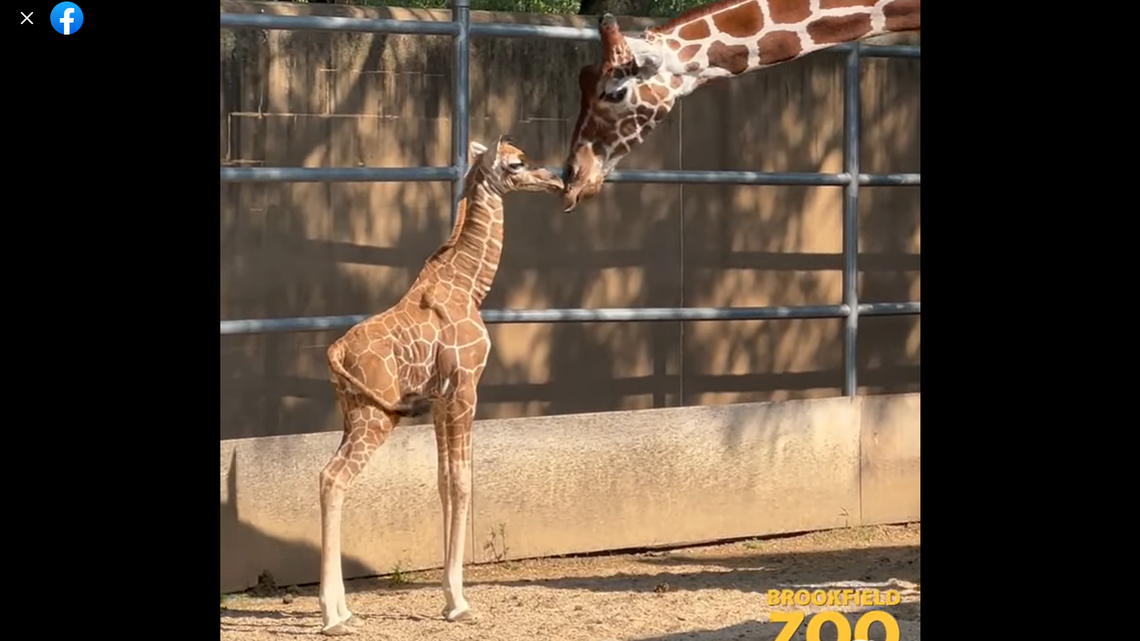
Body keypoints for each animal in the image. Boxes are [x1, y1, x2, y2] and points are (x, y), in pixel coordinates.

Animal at [315, 136, 563, 636]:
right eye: (516, 163)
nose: (556, 179)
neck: (469, 285)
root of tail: (336, 353)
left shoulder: (440, 400)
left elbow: (444, 481)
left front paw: (449, 600)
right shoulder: (467, 388)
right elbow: (464, 481)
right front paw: (459, 602)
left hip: (353, 412)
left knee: (329, 477)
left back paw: (345, 609)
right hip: (375, 417)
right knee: (332, 478)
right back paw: (332, 616)